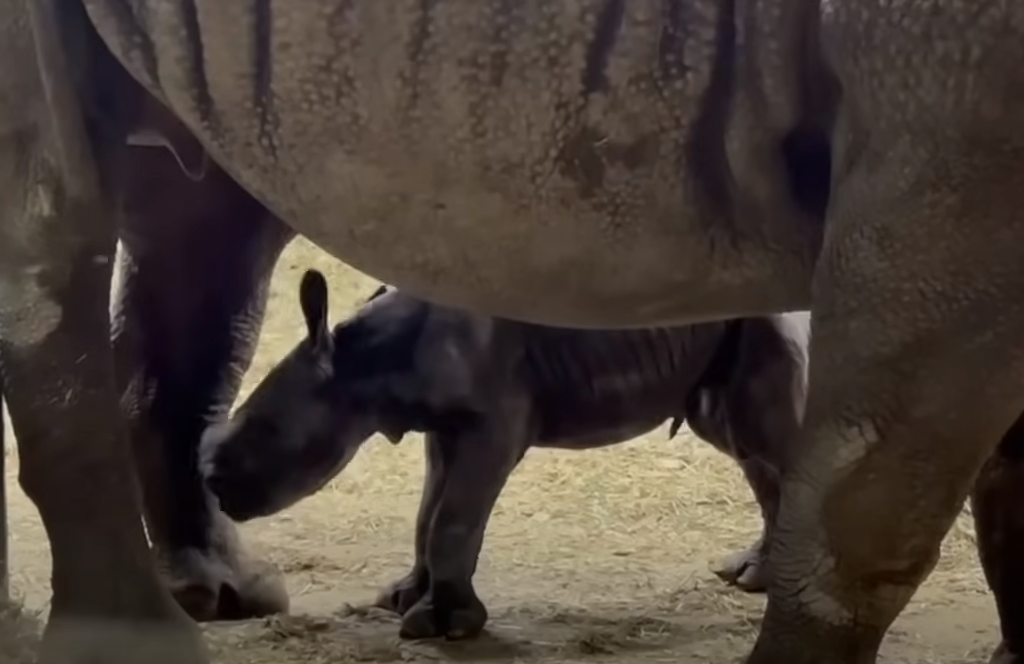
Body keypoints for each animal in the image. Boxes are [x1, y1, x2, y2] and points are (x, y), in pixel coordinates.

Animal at [199, 270, 810, 639]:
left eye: (268, 431)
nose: (212, 481)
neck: (363, 361)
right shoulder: (442, 427)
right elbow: (427, 514)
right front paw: (402, 597)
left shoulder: (494, 423)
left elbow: (452, 519)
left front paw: (443, 626)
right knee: (743, 446)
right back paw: (755, 578)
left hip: (759, 321)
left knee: (764, 442)